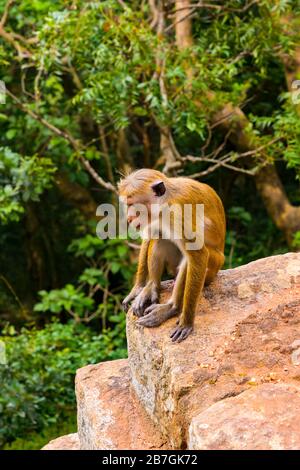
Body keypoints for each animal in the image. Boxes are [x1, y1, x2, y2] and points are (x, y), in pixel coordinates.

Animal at [118, 169, 225, 342]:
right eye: (127, 205)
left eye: (132, 205)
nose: (129, 218)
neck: (165, 202)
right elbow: (149, 235)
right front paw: (138, 288)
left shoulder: (178, 213)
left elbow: (199, 255)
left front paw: (187, 322)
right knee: (160, 238)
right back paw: (152, 287)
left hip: (214, 266)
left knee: (191, 260)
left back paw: (172, 307)